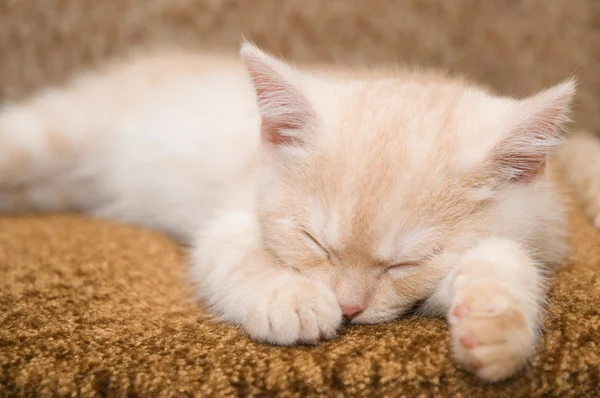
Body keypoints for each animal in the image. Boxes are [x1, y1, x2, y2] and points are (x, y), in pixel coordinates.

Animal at [2, 44, 580, 382]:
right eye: (314, 241)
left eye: (404, 263)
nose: (348, 307)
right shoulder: (230, 218)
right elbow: (239, 255)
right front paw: (292, 298)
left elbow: (505, 255)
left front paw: (496, 321)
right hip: (59, 133)